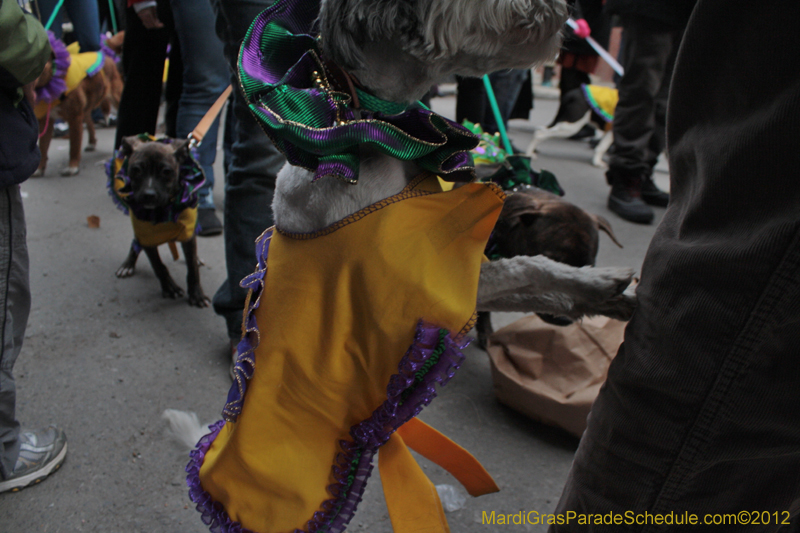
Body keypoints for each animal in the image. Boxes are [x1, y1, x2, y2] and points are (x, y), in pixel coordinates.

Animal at [34, 32, 122, 176]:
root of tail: (105, 54)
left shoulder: (74, 118)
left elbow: (74, 145)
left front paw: (72, 167)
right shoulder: (45, 121)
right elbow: (43, 147)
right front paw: (40, 169)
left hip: (116, 97)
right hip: (85, 108)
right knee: (89, 121)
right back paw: (91, 142)